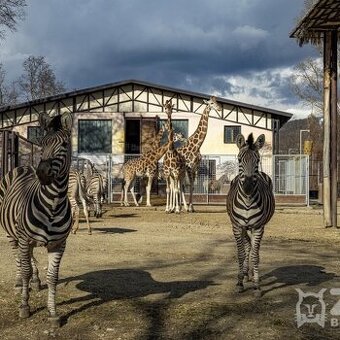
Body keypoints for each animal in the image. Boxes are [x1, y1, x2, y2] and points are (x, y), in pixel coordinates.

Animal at [0, 111, 73, 326]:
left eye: (64, 144)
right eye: (42, 143)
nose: (42, 173)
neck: (53, 205)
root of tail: (25, 166)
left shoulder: (58, 244)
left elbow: (53, 277)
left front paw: (53, 313)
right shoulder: (24, 239)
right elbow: (24, 269)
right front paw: (24, 306)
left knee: (29, 258)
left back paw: (35, 280)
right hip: (13, 235)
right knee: (19, 258)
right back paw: (19, 282)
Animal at [227, 133, 274, 298]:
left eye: (258, 160)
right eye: (239, 160)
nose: (247, 187)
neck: (247, 201)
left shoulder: (258, 227)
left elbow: (255, 255)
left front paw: (257, 286)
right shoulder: (237, 226)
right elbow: (241, 254)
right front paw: (239, 283)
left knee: (253, 248)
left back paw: (252, 275)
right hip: (243, 227)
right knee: (247, 246)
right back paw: (246, 274)